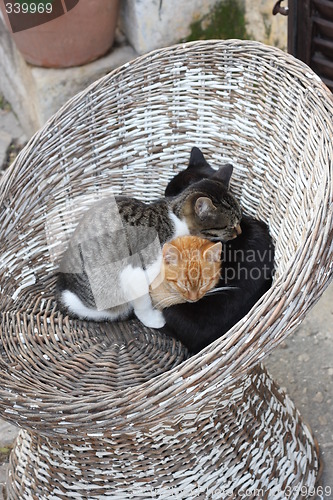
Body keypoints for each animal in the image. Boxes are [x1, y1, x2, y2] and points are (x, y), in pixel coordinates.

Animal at [55, 148, 240, 328]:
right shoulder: (136, 272)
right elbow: (142, 303)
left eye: (239, 219)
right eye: (231, 225)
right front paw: (153, 320)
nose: (239, 232)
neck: (175, 219)